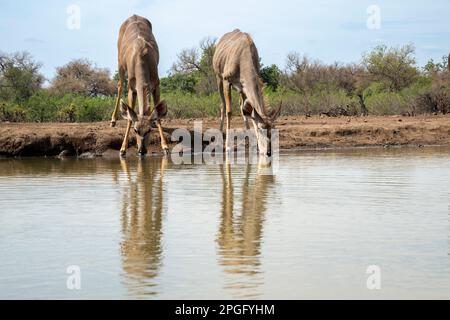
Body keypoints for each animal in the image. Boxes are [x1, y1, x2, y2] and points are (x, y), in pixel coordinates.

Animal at [110, 15, 169, 157]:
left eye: (148, 130)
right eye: (135, 130)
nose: (142, 151)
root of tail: (134, 15)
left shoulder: (156, 84)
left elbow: (158, 115)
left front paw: (165, 147)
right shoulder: (132, 88)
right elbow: (130, 118)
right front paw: (122, 149)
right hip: (120, 65)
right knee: (119, 85)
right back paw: (113, 120)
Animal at [214, 29, 282, 157]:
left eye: (273, 128)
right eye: (261, 128)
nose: (268, 152)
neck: (243, 56)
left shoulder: (245, 88)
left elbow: (250, 113)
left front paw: (255, 146)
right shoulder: (226, 81)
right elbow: (229, 111)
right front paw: (228, 147)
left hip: (242, 91)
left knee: (243, 109)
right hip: (219, 79)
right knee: (223, 106)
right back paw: (220, 135)